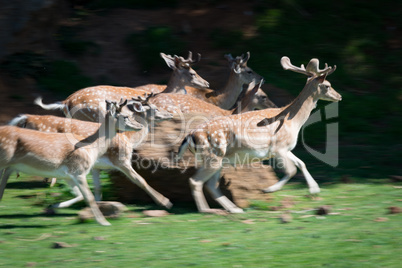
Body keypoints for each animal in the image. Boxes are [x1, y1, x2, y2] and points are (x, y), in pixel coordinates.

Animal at [1, 96, 174, 209]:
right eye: (155, 108)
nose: (170, 114)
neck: (130, 139)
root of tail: (26, 118)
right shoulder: (121, 159)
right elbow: (141, 181)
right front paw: (165, 202)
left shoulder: (95, 166)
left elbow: (97, 189)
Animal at [177, 56, 342, 214]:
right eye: (327, 85)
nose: (339, 96)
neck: (293, 122)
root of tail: (190, 136)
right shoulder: (278, 147)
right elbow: (291, 170)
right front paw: (268, 189)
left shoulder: (286, 148)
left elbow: (301, 163)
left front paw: (314, 189)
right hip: (213, 156)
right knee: (196, 181)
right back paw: (206, 210)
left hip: (218, 160)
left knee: (211, 185)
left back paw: (235, 209)